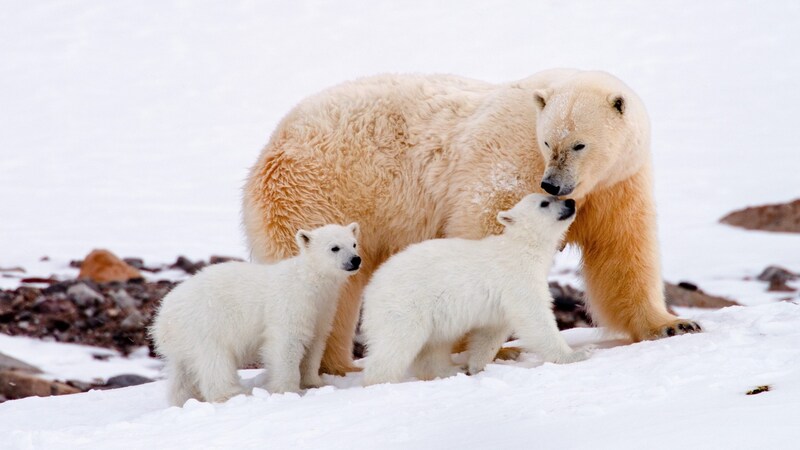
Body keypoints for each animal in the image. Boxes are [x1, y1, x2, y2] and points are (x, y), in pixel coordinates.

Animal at [149, 223, 360, 406]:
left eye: (354, 243)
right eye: (334, 247)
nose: (355, 259)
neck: (309, 280)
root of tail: (163, 318)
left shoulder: (322, 309)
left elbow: (315, 344)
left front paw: (314, 383)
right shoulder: (291, 302)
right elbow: (287, 343)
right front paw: (288, 390)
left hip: (182, 340)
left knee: (182, 373)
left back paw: (184, 399)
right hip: (205, 324)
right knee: (215, 361)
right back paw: (232, 394)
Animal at [362, 194, 588, 386]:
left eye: (556, 197)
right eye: (544, 203)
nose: (570, 202)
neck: (522, 248)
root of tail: (371, 290)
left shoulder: (501, 303)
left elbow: (490, 333)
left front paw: (476, 365)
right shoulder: (517, 279)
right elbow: (535, 318)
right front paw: (577, 354)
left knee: (433, 347)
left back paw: (452, 369)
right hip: (405, 305)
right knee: (396, 344)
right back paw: (380, 382)